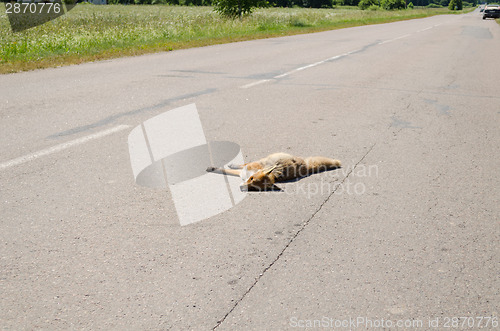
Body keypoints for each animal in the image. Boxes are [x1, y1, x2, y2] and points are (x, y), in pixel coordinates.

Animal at [205, 152, 342, 191]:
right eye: (252, 179)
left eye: (254, 188)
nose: (241, 188)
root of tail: (306, 167)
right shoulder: (243, 171)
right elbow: (224, 170)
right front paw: (212, 168)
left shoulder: (242, 174)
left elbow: (225, 171)